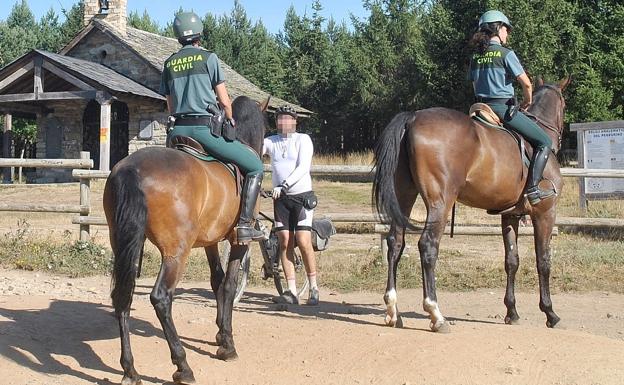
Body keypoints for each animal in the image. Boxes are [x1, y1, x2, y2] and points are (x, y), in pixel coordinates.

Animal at [102, 94, 266, 384]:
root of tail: (133, 168)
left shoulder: (210, 241)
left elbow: (216, 281)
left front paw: (220, 334)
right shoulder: (238, 242)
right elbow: (229, 284)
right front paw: (227, 344)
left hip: (124, 245)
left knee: (124, 295)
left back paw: (130, 369)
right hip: (176, 252)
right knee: (161, 298)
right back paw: (182, 365)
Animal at [370, 77, 572, 330]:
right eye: (564, 105)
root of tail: (413, 117)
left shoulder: (510, 215)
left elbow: (511, 260)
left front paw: (511, 312)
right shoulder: (545, 213)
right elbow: (543, 261)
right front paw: (550, 312)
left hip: (404, 196)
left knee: (395, 243)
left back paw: (392, 310)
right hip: (440, 202)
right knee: (428, 245)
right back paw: (435, 313)